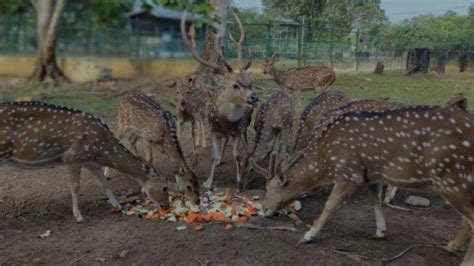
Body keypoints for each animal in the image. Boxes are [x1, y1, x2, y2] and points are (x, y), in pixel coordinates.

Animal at [0, 101, 169, 221]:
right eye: (165, 187)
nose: (166, 206)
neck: (101, 149)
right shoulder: (73, 157)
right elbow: (75, 187)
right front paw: (78, 216)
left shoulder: (91, 162)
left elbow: (104, 183)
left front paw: (118, 205)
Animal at [181, 10, 258, 189]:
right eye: (235, 85)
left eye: (250, 83)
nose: (254, 97)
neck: (226, 121)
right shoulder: (213, 129)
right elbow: (213, 156)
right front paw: (208, 182)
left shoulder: (238, 129)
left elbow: (237, 154)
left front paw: (239, 181)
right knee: (224, 143)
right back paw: (222, 159)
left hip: (245, 126)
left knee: (244, 145)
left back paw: (248, 163)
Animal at [254, 105, 474, 264]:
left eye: (268, 190)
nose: (263, 210)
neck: (326, 163)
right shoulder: (372, 175)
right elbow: (375, 201)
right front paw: (380, 231)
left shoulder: (349, 173)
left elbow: (329, 205)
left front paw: (309, 235)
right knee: (466, 218)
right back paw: (451, 246)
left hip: (451, 178)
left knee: (471, 218)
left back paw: (465, 261)